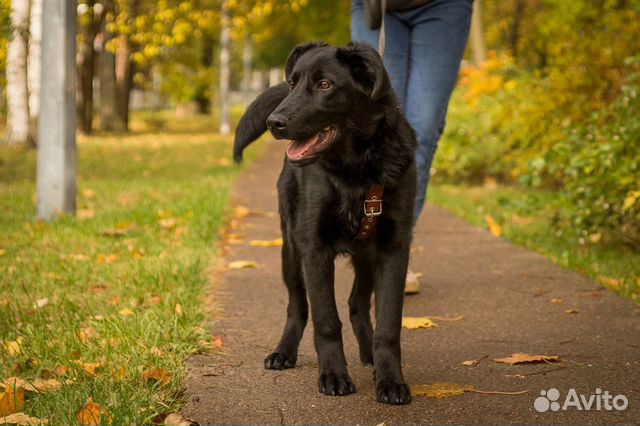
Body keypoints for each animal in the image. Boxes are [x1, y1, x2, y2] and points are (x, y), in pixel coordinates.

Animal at [232, 43, 418, 406]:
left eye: (324, 85)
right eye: (292, 82)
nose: (274, 122)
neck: (357, 172)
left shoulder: (394, 249)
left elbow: (389, 324)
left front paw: (390, 380)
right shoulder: (314, 248)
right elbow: (326, 320)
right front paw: (333, 375)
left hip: (366, 256)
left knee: (357, 304)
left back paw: (369, 352)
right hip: (291, 252)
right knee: (297, 307)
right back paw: (284, 352)